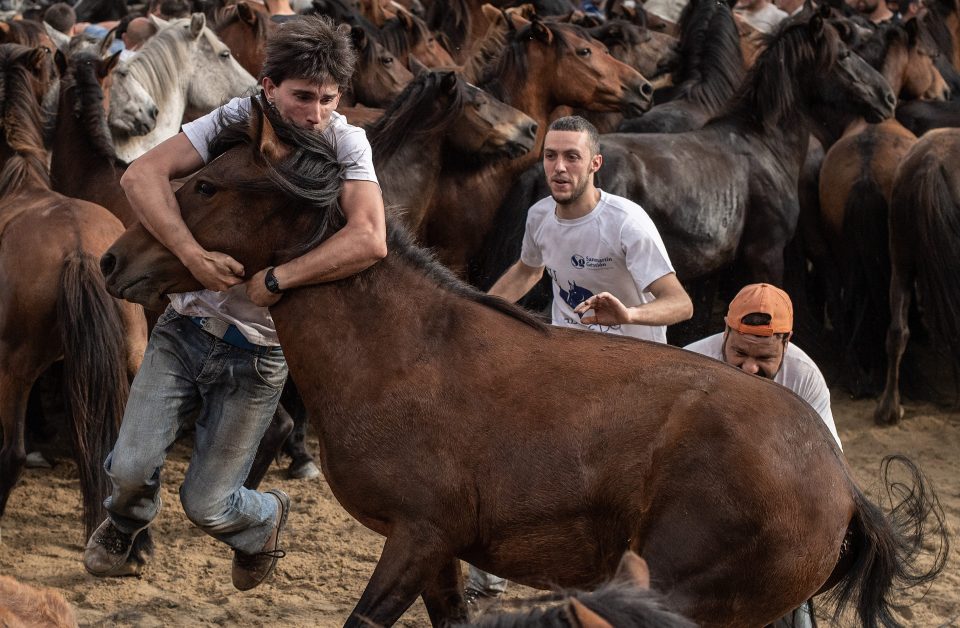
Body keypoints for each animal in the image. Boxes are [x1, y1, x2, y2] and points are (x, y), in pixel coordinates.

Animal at [99, 99, 944, 628]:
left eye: (206, 184)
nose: (112, 261)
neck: (400, 350)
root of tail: (843, 485)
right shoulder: (437, 550)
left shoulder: (418, 536)